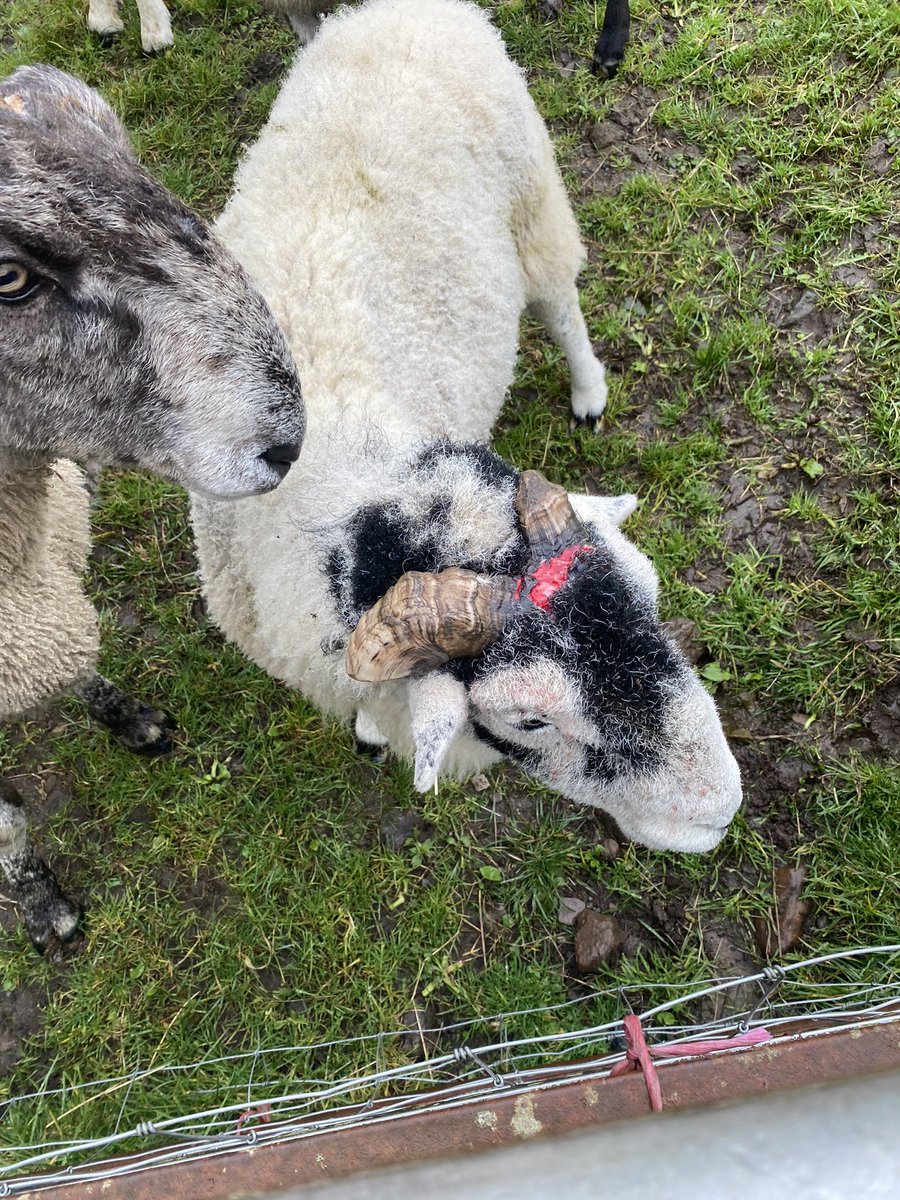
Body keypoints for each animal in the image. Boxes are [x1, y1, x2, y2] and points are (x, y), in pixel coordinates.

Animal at [0, 64, 305, 949]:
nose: (288, 438)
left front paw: (131, 720)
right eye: (8, 277)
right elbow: (8, 825)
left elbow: (80, 661)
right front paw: (46, 907)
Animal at [191, 0, 742, 854]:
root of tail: (398, 8)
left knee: (560, 301)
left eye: (650, 595)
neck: (349, 476)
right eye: (529, 720)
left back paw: (588, 391)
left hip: (533, 199)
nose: (722, 809)